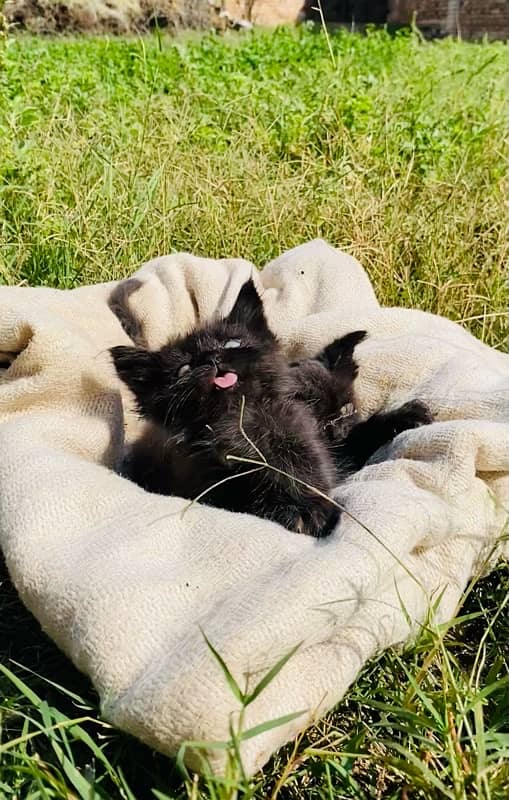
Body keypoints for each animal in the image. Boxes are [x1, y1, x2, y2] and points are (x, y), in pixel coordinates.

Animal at [111, 280, 342, 536]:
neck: (242, 424)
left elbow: (308, 473)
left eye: (231, 343)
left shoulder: (299, 436)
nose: (211, 358)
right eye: (184, 369)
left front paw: (311, 510)